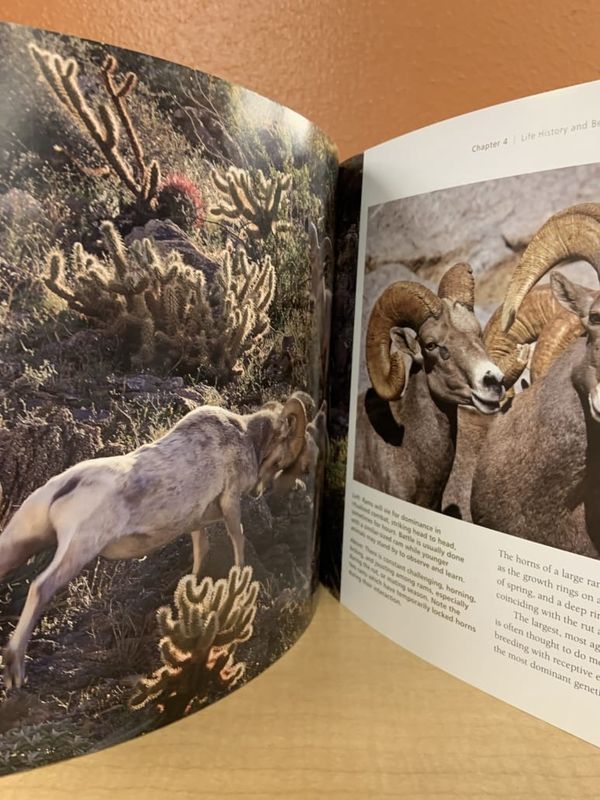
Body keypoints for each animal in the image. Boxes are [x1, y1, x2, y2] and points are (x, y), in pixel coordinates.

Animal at [0, 395, 307, 690]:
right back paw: (16, 670)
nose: (259, 492)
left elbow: (201, 553)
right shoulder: (230, 502)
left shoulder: (196, 522)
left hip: (19, 543)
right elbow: (238, 541)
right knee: (41, 587)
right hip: (79, 548)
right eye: (281, 459)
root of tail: (66, 486)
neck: (245, 437)